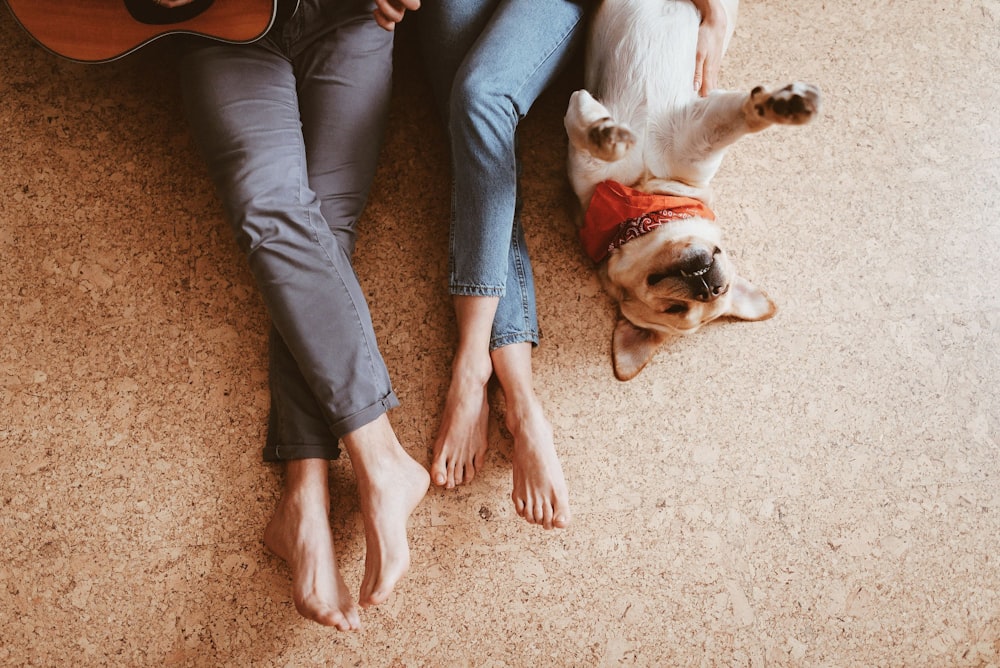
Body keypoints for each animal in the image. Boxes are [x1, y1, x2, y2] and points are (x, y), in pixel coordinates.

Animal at [564, 0, 820, 378]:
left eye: (721, 290)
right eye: (673, 309)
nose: (708, 288)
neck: (645, 197)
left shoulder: (701, 131)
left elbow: (747, 116)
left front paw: (779, 104)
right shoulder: (584, 128)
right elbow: (588, 131)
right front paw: (604, 134)